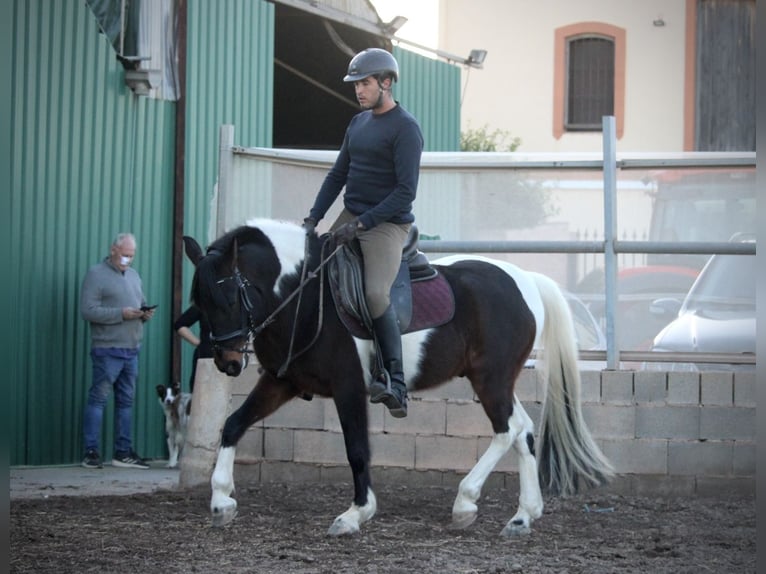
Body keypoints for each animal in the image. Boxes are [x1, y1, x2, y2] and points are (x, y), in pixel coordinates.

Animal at [183, 220, 616, 540]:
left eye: (229, 298)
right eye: (199, 303)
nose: (227, 362)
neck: (304, 296)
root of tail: (525, 279)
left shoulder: (348, 388)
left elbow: (357, 450)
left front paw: (355, 514)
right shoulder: (281, 382)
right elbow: (232, 424)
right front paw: (221, 501)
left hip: (490, 380)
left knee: (506, 430)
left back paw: (466, 503)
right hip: (497, 381)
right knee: (522, 431)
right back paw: (523, 516)